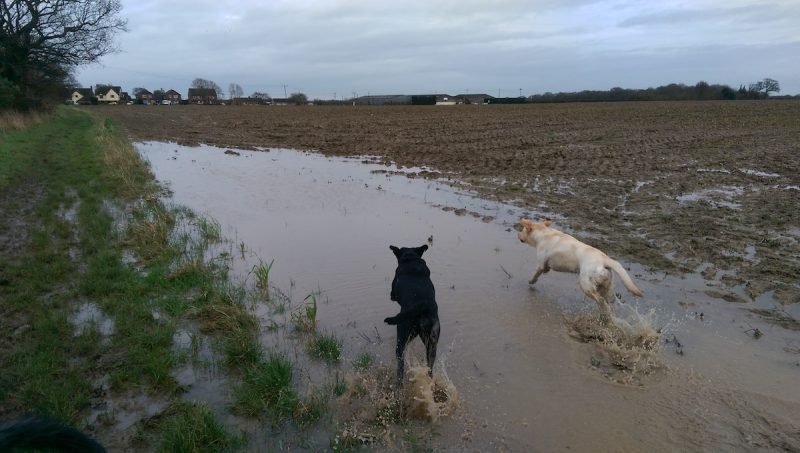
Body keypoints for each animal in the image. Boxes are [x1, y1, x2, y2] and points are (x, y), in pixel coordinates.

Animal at [384, 244, 440, 384]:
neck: (411, 259)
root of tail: (422, 305)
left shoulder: (393, 291)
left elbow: (393, 295)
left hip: (402, 333)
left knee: (400, 365)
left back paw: (398, 384)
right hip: (432, 340)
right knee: (430, 365)